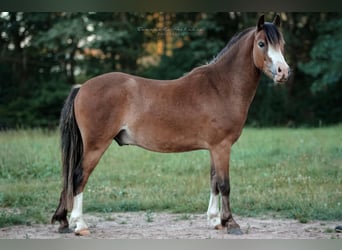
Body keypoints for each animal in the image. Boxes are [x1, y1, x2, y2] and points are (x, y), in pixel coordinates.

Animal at [52, 14, 290, 236]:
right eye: (261, 44)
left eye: (282, 44)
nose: (283, 72)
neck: (221, 87)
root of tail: (82, 87)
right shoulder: (222, 147)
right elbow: (224, 184)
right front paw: (230, 223)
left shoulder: (214, 148)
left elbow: (213, 181)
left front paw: (214, 220)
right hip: (95, 146)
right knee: (78, 176)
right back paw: (80, 225)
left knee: (70, 179)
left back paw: (63, 221)